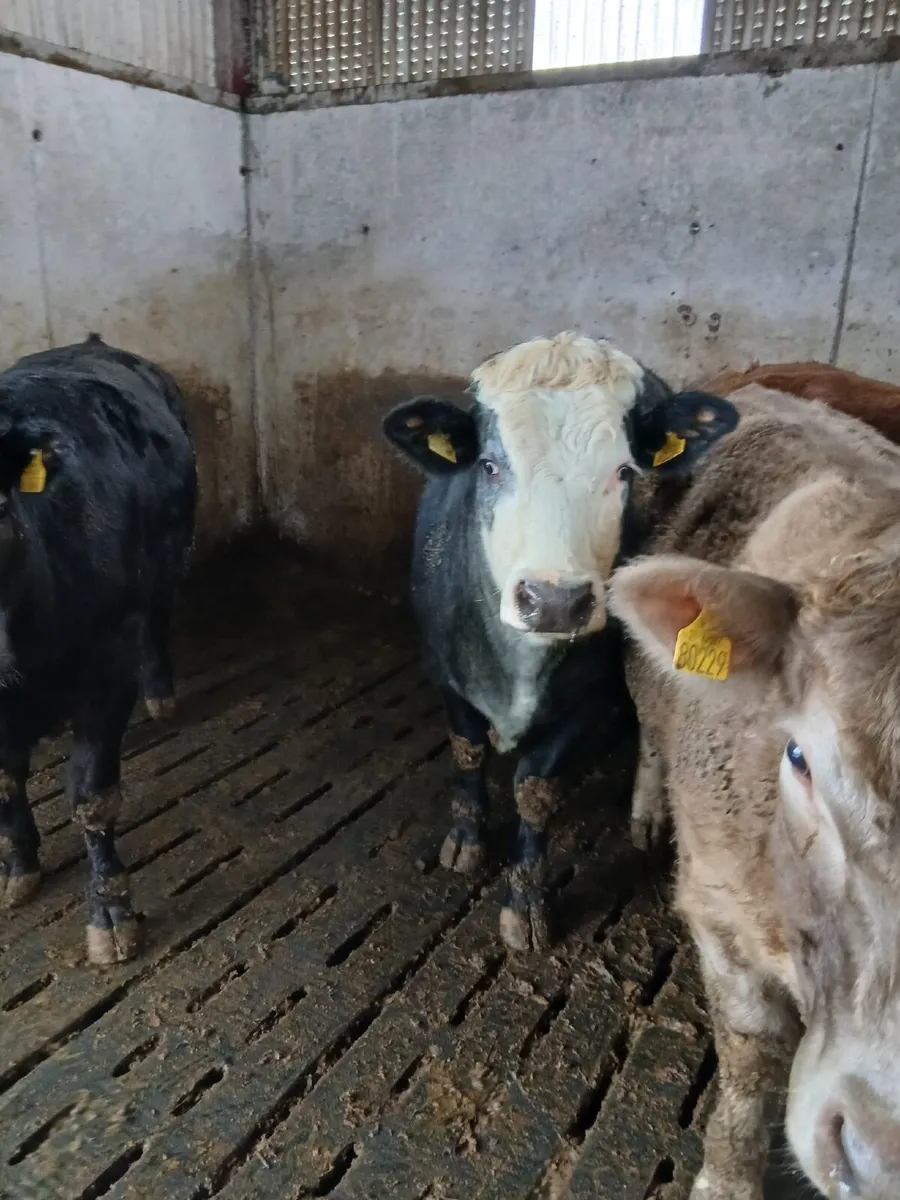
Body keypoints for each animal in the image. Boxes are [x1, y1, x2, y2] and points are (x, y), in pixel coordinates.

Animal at [0, 334, 196, 965]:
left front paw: (112, 916)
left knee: (157, 624)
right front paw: (18, 869)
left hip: (167, 563)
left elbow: (93, 797)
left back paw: (161, 699)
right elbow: (5, 785)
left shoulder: (107, 674)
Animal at [382, 332, 738, 952]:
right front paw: (467, 839)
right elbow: (467, 751)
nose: (553, 600)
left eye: (624, 471)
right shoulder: (447, 671)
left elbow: (536, 790)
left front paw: (525, 902)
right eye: (489, 465)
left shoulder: (586, 693)